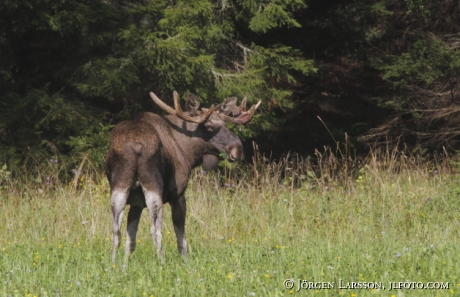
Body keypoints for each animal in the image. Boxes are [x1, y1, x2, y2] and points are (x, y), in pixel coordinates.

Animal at [105, 90, 260, 264]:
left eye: (225, 125)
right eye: (209, 126)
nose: (238, 149)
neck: (187, 152)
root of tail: (136, 145)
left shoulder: (136, 203)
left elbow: (130, 239)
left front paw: (125, 265)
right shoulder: (178, 194)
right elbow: (181, 236)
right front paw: (186, 261)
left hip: (120, 185)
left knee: (115, 230)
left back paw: (112, 264)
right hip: (153, 186)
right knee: (155, 230)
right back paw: (162, 263)